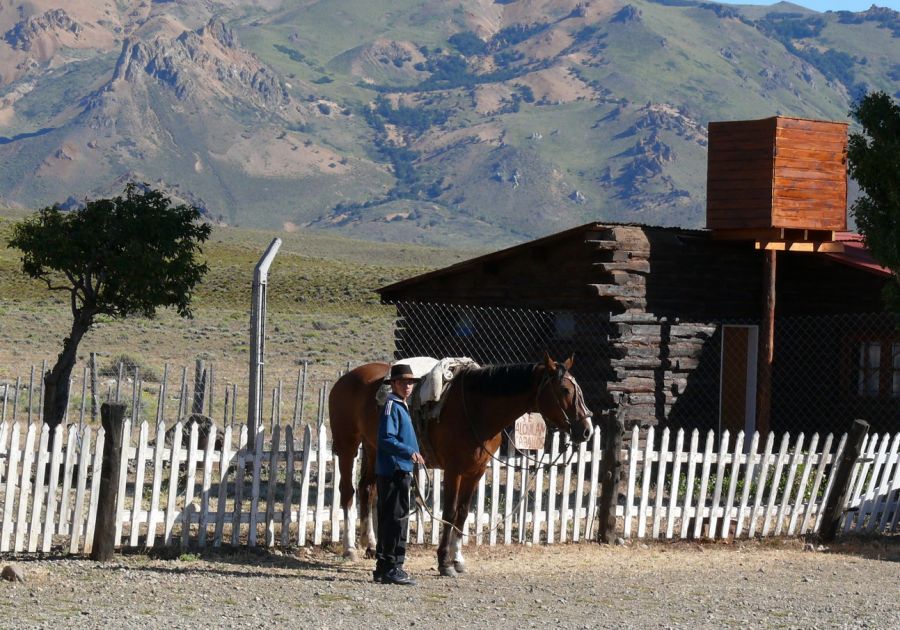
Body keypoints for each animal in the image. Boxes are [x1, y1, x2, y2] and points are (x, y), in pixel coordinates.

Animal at [326, 354, 596, 580]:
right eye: (564, 389)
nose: (586, 430)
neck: (477, 408)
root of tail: (345, 379)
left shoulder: (475, 472)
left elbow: (463, 513)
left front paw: (457, 559)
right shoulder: (453, 470)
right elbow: (449, 512)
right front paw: (444, 562)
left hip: (374, 448)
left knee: (367, 490)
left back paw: (371, 545)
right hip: (348, 445)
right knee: (348, 492)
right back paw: (349, 549)